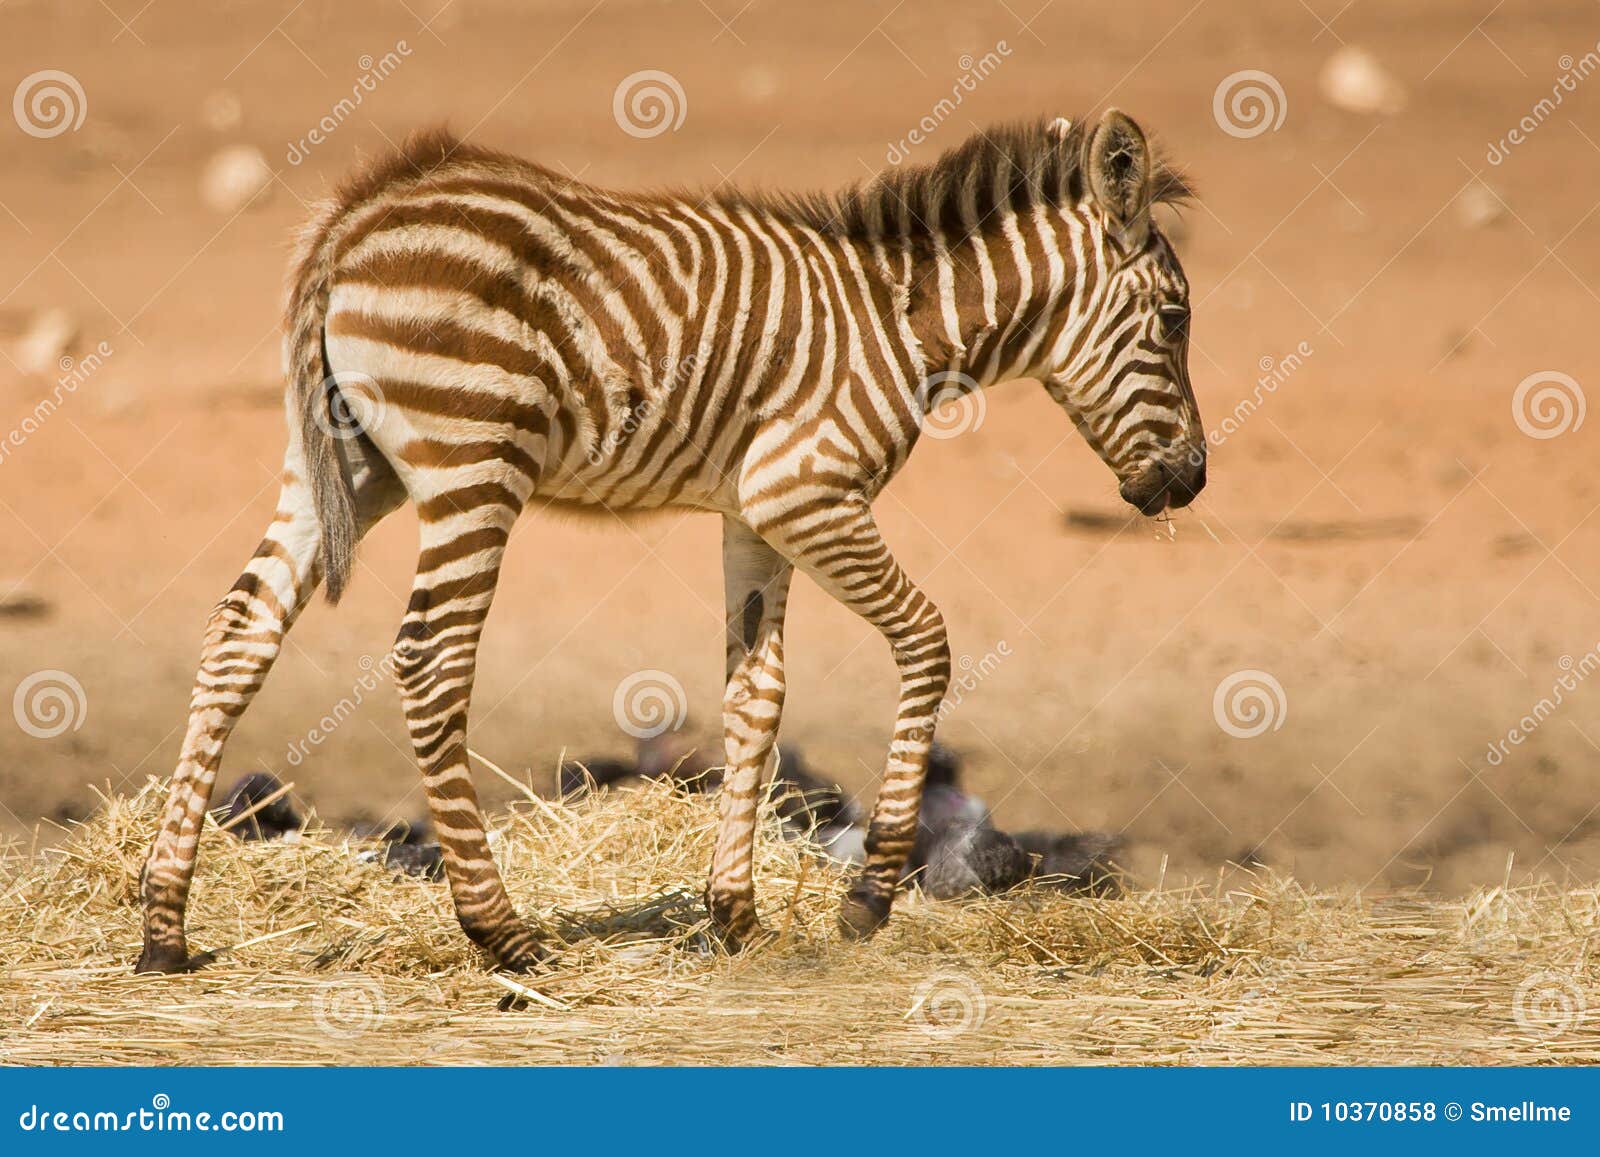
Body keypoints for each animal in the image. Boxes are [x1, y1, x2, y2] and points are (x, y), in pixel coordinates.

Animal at [137, 111, 1203, 979]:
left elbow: (756, 693)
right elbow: (927, 641)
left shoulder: (753, 515)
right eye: (1175, 317)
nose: (1190, 481)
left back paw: (164, 926)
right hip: (473, 465)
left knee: (240, 630)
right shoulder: (806, 492)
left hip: (348, 467)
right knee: (432, 661)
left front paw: (735, 915)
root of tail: (357, 214)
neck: (901, 325)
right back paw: (500, 932)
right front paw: (869, 895)